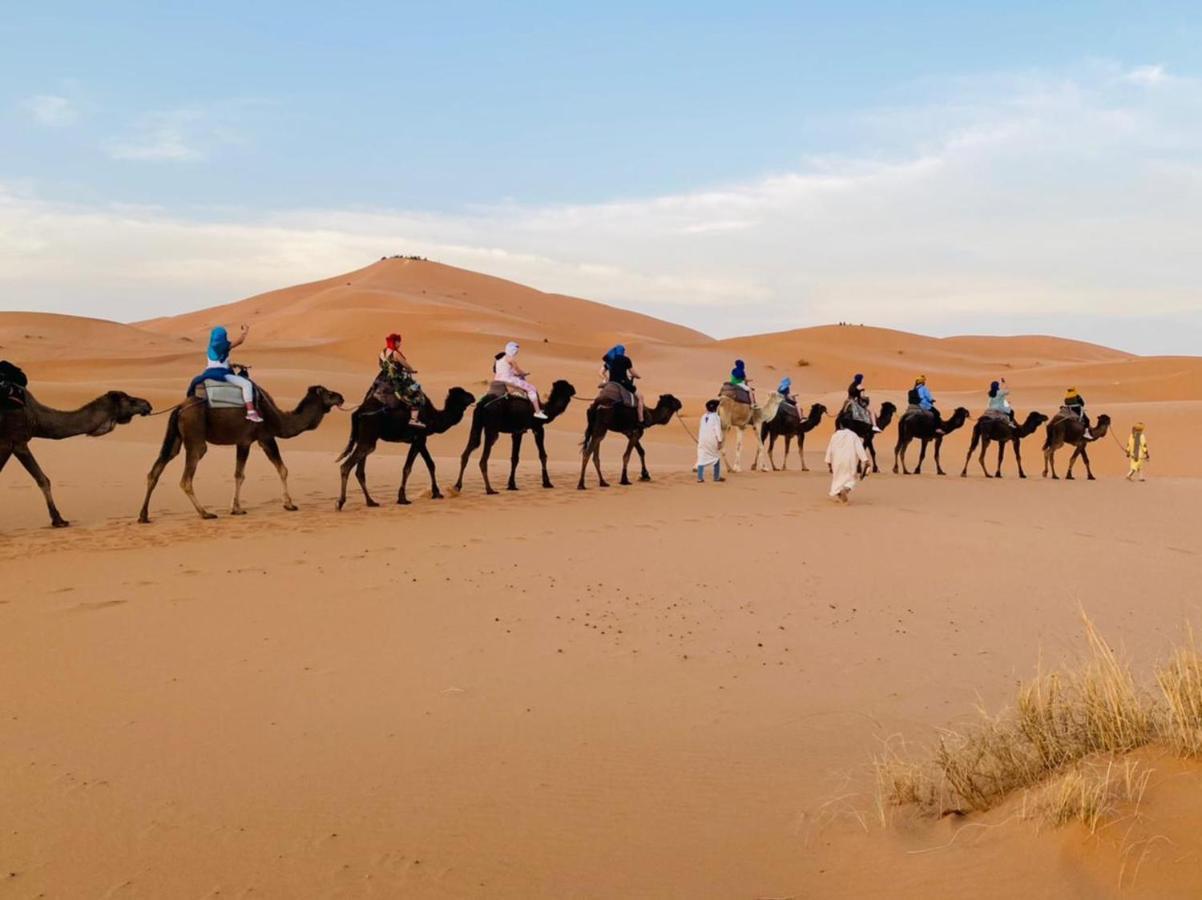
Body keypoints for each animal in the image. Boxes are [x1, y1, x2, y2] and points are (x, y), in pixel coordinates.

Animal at [0, 386, 152, 526]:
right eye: (130, 400)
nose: (148, 404)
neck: (36, 417)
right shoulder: (16, 442)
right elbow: (42, 479)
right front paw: (58, 520)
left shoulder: (11, 443)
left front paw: (58, 520)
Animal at [142, 382, 348, 523]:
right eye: (329, 393)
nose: (341, 397)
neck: (278, 418)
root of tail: (179, 408)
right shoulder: (259, 438)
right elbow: (275, 470)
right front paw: (288, 504)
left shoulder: (251, 441)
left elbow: (241, 473)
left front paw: (236, 507)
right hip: (195, 438)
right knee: (186, 478)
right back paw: (205, 513)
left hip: (176, 437)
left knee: (157, 468)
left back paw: (143, 516)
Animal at [336, 386, 475, 509]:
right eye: (462, 394)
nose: (473, 397)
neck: (434, 417)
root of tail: (357, 412)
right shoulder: (419, 438)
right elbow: (408, 468)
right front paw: (403, 498)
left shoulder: (421, 440)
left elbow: (430, 464)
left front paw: (436, 493)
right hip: (368, 437)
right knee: (346, 466)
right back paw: (340, 503)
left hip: (365, 438)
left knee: (360, 471)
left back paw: (371, 502)